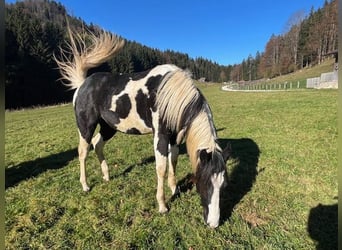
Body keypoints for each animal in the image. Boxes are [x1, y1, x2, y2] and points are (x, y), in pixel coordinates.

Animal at [55, 27, 230, 229]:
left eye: (224, 185)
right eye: (204, 183)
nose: (213, 223)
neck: (170, 93)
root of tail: (82, 84)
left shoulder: (174, 137)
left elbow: (173, 160)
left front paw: (174, 189)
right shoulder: (160, 135)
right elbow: (161, 167)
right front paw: (162, 205)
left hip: (109, 127)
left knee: (97, 144)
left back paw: (106, 176)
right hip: (86, 126)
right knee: (83, 151)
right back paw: (85, 185)